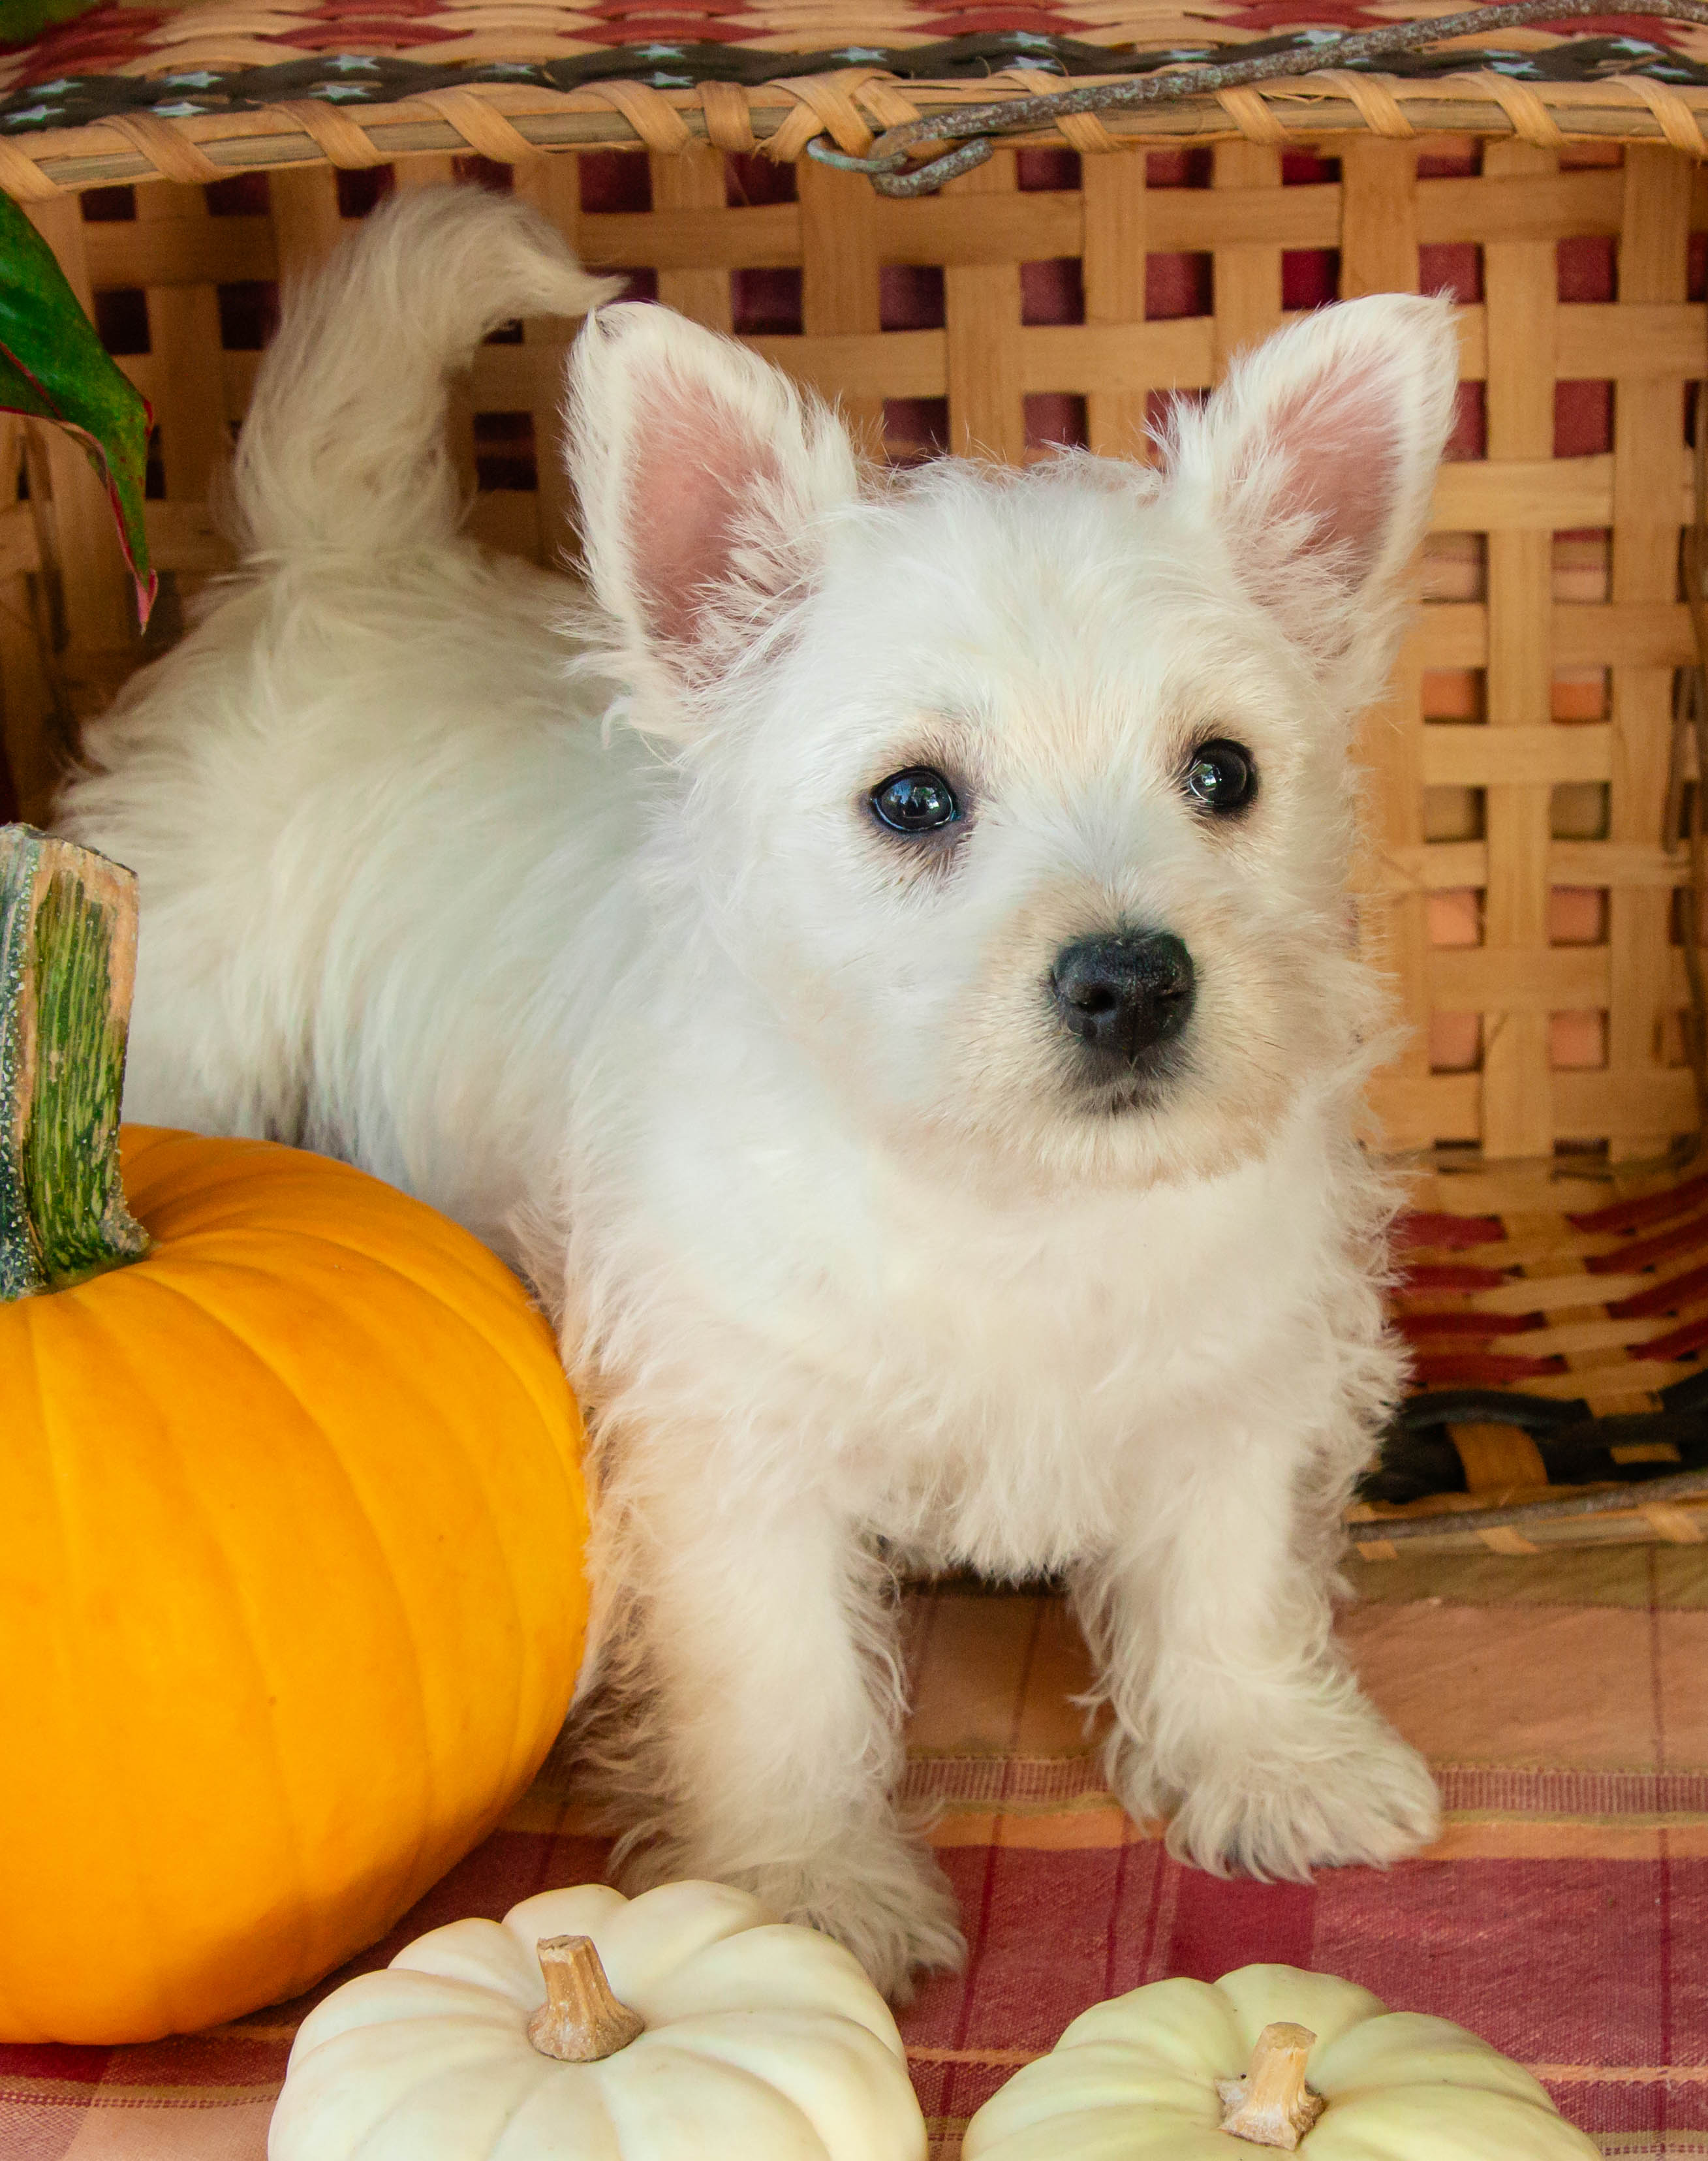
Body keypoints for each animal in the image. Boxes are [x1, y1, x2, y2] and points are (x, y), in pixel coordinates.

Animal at [63, 181, 1461, 1988]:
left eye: (1222, 772)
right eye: (913, 799)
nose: (1131, 981)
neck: (1006, 1195)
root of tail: (334, 565)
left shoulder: (1233, 1371)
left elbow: (1222, 1578)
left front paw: (1274, 1764)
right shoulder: (730, 1441)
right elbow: (778, 1672)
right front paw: (798, 1891)